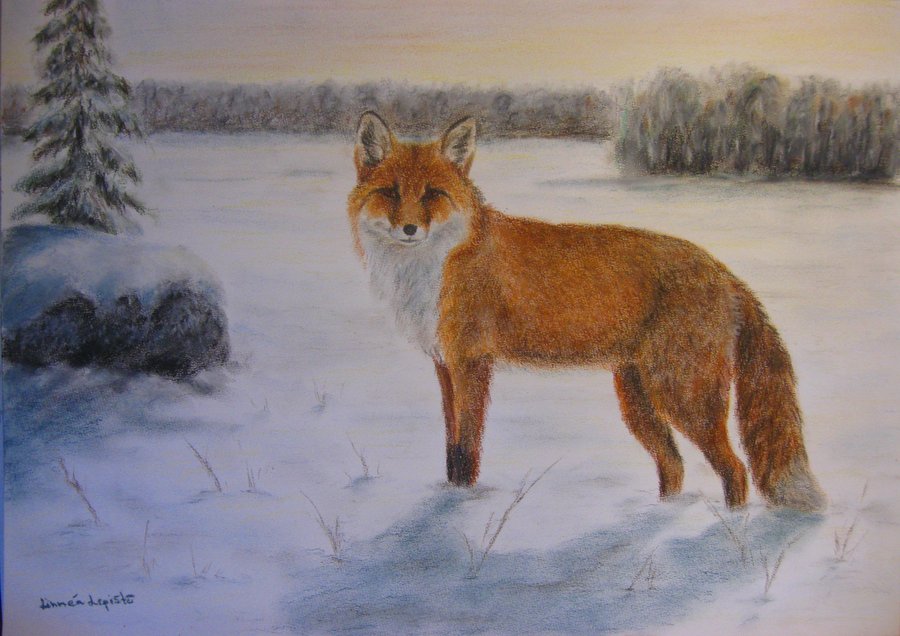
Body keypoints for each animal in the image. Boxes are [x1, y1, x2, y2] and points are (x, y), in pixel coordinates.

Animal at [347, 111, 826, 512]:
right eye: (390, 193)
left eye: (433, 194)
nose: (409, 228)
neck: (435, 266)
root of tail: (724, 271)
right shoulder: (444, 365)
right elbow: (450, 449)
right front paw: (450, 500)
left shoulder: (471, 363)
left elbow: (466, 450)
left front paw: (459, 508)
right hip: (637, 401)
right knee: (674, 465)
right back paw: (661, 516)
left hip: (684, 396)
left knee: (735, 469)